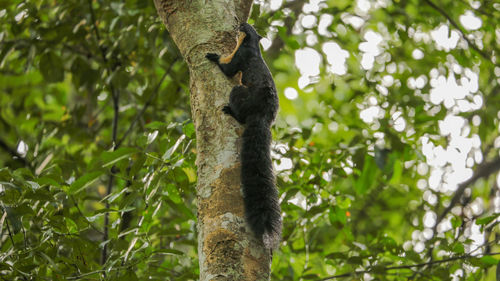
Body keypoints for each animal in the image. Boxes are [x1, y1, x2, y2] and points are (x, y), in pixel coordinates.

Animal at [204, 23, 282, 248]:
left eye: (245, 27)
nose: (239, 25)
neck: (253, 44)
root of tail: (263, 117)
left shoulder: (240, 56)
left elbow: (229, 68)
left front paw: (214, 57)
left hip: (240, 92)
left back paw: (231, 112)